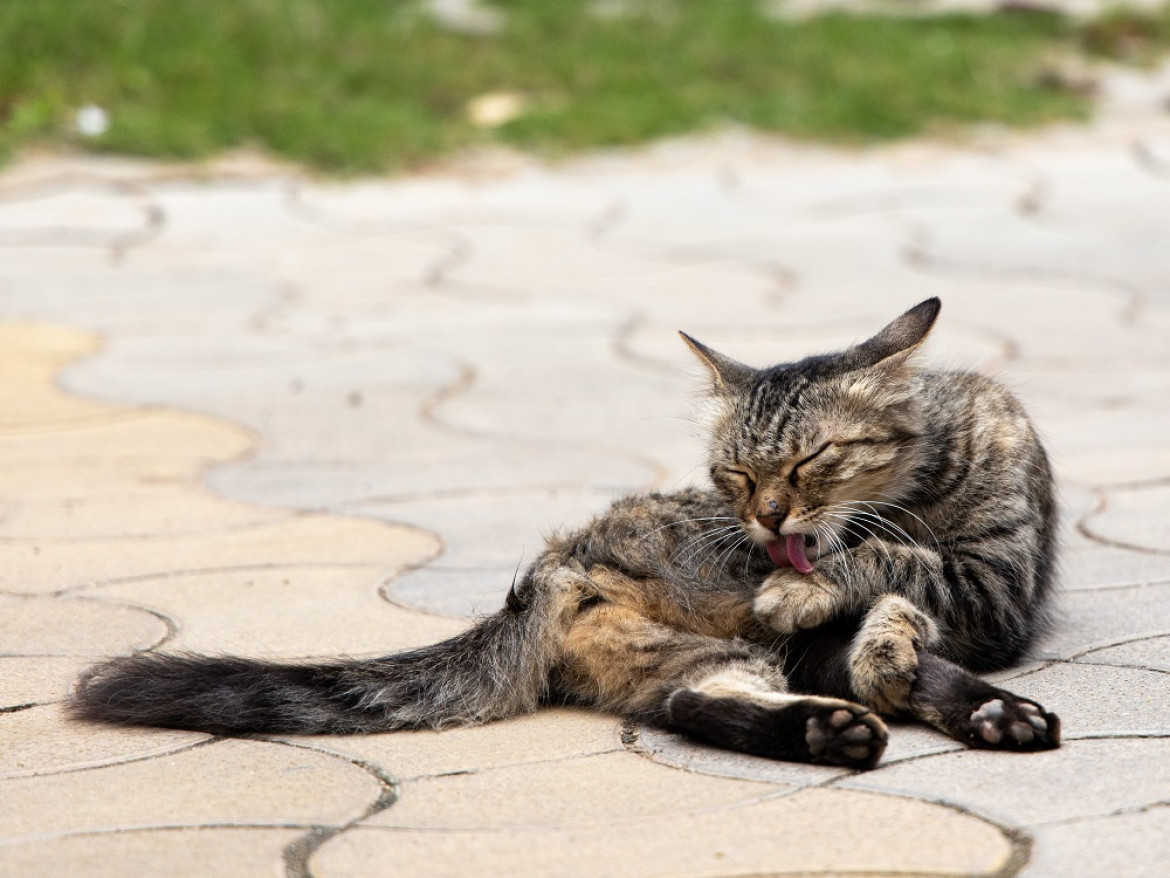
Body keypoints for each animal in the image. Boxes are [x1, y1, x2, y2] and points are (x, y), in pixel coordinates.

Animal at [73, 302, 1062, 767]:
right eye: (738, 475)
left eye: (809, 461)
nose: (767, 521)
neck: (916, 487)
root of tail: (555, 564)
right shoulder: (959, 590)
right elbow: (883, 568)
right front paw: (817, 585)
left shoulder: (993, 586)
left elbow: (891, 565)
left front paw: (840, 593)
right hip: (714, 649)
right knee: (697, 703)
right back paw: (842, 727)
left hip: (730, 652)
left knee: (718, 695)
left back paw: (978, 711)